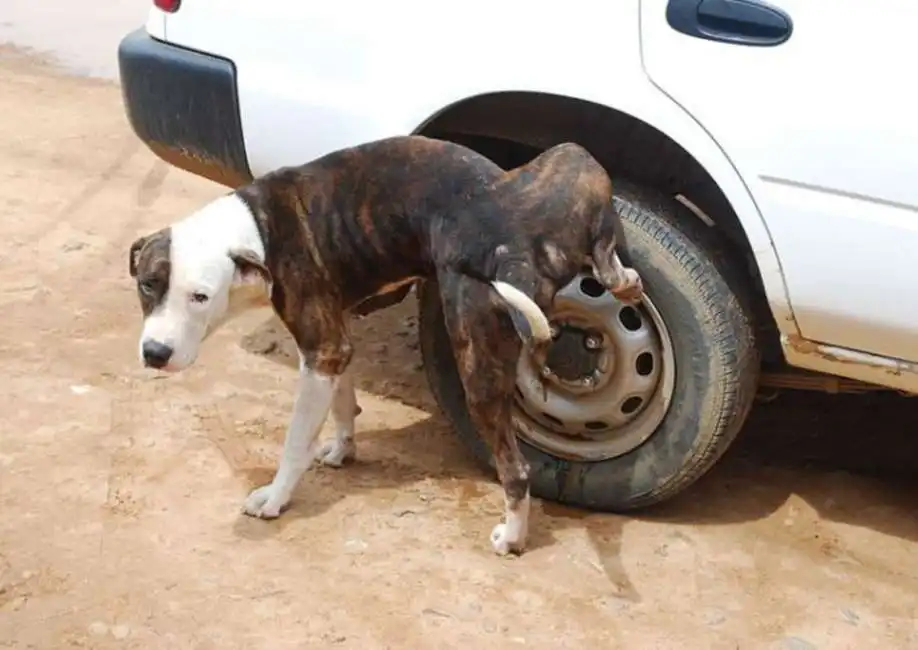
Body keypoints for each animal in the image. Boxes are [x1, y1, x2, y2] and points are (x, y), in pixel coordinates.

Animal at [129, 134, 644, 556]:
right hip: (571, 158)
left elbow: (295, 440)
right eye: (147, 285)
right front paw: (343, 449)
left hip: (476, 359)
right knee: (606, 249)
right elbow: (342, 403)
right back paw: (624, 279)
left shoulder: (320, 349)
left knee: (516, 470)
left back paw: (512, 538)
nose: (154, 353)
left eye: (200, 296)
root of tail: (526, 238)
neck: (255, 230)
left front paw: (275, 498)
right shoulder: (335, 343)